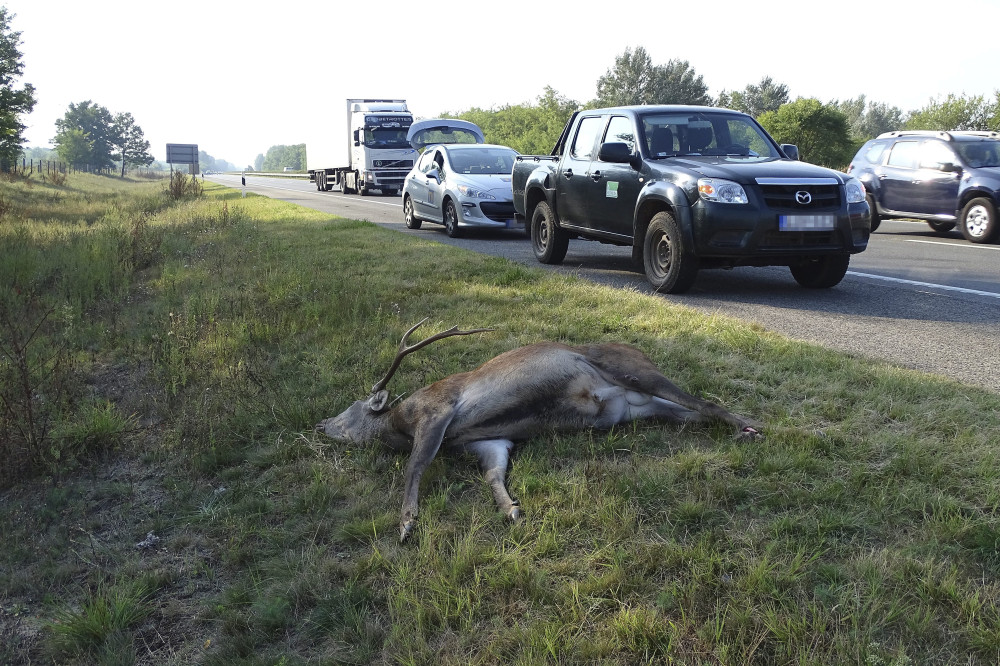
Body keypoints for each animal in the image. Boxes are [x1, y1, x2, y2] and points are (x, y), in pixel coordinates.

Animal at [316, 320, 760, 544]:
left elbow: (416, 465)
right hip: (640, 409)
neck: (400, 423)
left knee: (706, 403)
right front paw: (511, 509)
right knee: (692, 414)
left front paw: (406, 522)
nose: (321, 424)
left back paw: (750, 429)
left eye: (349, 410)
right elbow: (492, 474)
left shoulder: (437, 409)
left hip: (636, 371)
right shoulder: (488, 440)